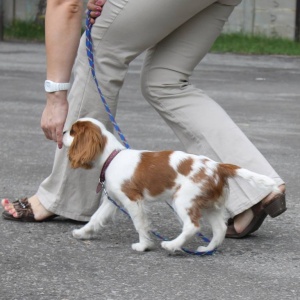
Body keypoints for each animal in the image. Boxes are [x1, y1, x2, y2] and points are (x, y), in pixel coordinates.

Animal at [62, 117, 278, 253]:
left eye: (72, 131)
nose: (62, 131)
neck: (112, 156)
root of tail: (218, 166)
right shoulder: (113, 199)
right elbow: (96, 218)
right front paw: (82, 233)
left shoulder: (133, 200)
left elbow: (140, 224)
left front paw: (143, 246)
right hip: (209, 205)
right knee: (220, 229)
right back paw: (206, 249)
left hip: (183, 200)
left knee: (192, 226)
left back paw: (172, 245)